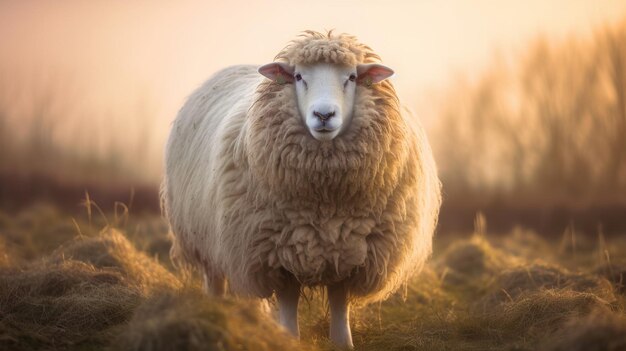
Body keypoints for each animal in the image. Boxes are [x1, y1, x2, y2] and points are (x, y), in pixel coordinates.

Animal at [162, 31, 444, 350]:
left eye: (351, 77)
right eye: (298, 76)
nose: (324, 114)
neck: (326, 203)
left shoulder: (349, 253)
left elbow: (339, 302)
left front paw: (342, 341)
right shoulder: (276, 252)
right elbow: (288, 300)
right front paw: (288, 337)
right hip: (208, 238)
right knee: (215, 279)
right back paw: (215, 310)